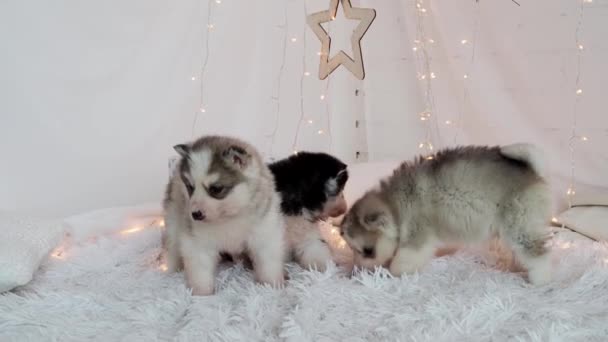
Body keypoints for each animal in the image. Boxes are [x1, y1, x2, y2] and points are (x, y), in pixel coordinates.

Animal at [162, 135, 284, 296]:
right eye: (190, 187)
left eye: (216, 189)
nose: (195, 214)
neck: (229, 216)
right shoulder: (198, 242)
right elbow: (200, 270)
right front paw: (202, 293)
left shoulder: (264, 233)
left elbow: (268, 263)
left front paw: (271, 286)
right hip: (173, 219)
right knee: (173, 247)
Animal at [340, 143, 552, 284]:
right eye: (353, 250)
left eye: (368, 251)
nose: (355, 274)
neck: (395, 204)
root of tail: (532, 171)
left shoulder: (417, 232)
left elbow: (404, 259)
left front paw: (393, 273)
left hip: (520, 223)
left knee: (537, 253)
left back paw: (539, 279)